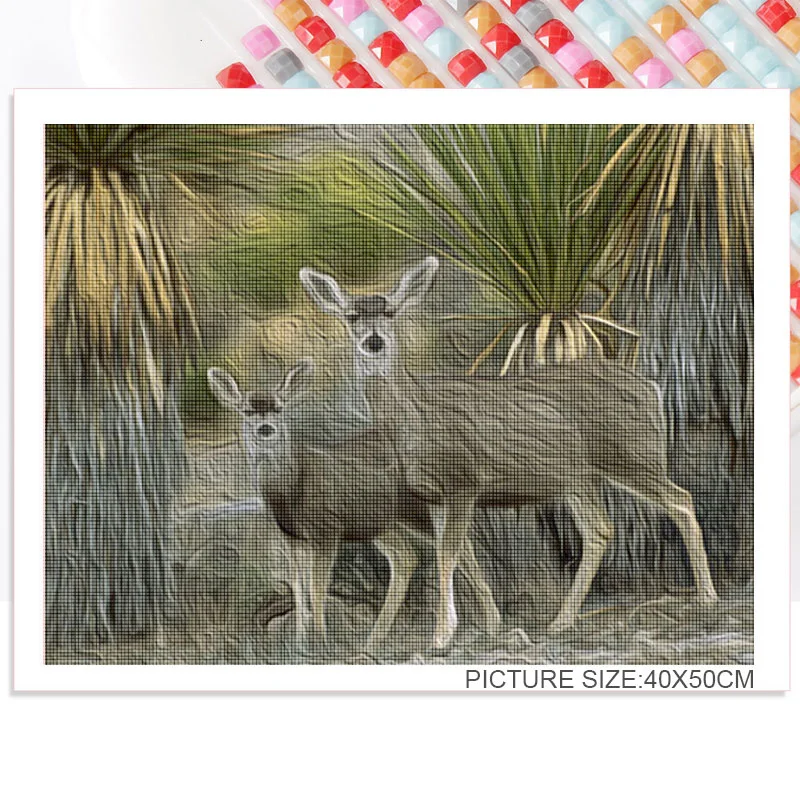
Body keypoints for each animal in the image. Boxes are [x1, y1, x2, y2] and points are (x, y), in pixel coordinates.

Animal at [206, 358, 501, 654]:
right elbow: (299, 588)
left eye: (278, 408)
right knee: (408, 556)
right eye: (247, 411)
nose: (265, 428)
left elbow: (317, 588)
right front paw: (299, 645)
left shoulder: (327, 528)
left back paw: (487, 628)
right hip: (379, 521)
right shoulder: (291, 537)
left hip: (419, 507)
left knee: (455, 546)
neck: (291, 487)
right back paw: (372, 643)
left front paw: (321, 645)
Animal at [299, 258, 719, 648]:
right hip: (579, 477)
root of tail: (653, 388)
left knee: (681, 500)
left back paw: (707, 598)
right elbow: (464, 556)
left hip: (631, 454)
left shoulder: (464, 480)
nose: (373, 341)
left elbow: (449, 554)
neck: (416, 419)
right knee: (601, 530)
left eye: (390, 311)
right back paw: (559, 623)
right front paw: (492, 625)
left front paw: (442, 636)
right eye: (351, 316)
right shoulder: (435, 495)